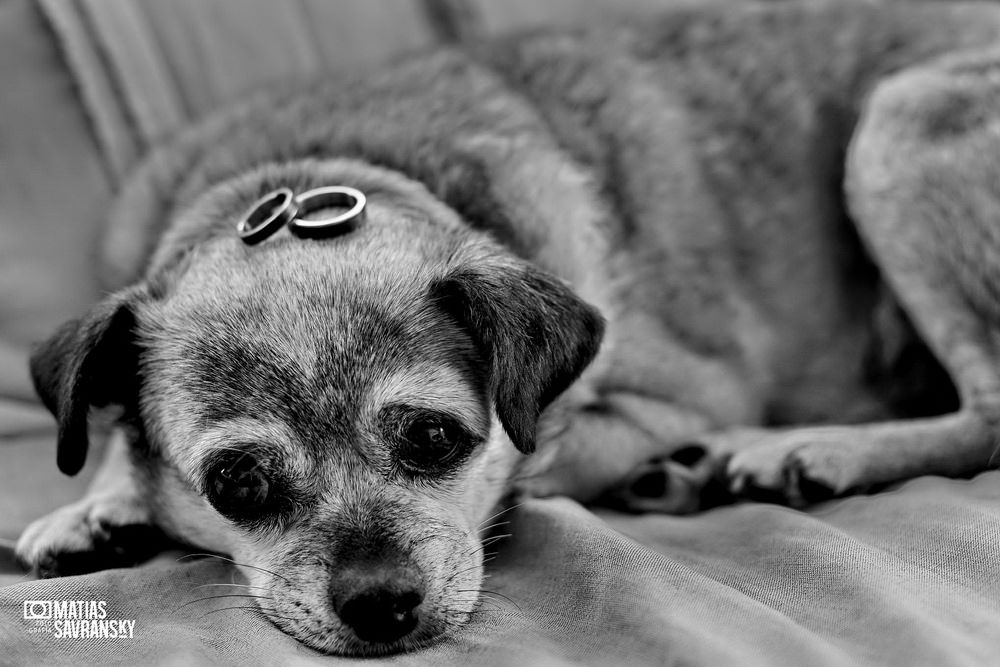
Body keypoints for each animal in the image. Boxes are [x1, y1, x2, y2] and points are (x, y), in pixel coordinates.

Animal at [17, 0, 1000, 656]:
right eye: (236, 482)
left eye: (433, 437)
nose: (379, 601)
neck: (299, 182)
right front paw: (98, 499)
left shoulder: (670, 396)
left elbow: (540, 460)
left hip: (899, 123)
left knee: (987, 414)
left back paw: (800, 450)